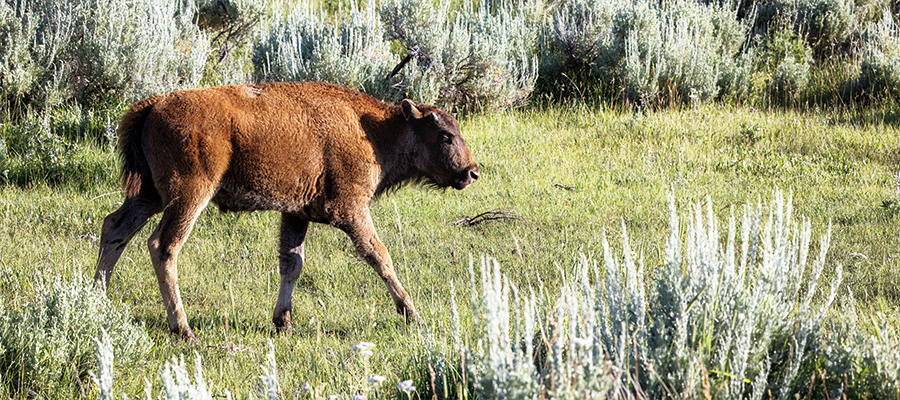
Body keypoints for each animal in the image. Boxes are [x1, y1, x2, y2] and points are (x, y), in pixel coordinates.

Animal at [94, 82, 480, 340]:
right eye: (445, 135)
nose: (472, 172)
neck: (373, 129)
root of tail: (153, 104)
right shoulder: (351, 210)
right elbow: (379, 255)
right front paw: (413, 315)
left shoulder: (296, 214)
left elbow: (292, 263)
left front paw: (284, 321)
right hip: (188, 195)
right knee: (163, 245)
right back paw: (184, 329)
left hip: (149, 195)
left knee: (115, 228)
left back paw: (95, 300)